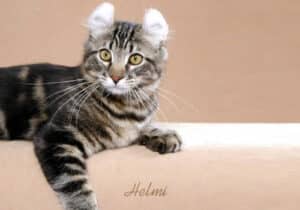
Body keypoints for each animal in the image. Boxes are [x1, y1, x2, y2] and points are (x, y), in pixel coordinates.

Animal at [0, 2, 182, 210]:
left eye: (135, 59)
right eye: (105, 55)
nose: (116, 78)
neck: (128, 107)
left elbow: (145, 128)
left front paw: (163, 134)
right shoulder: (57, 136)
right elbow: (73, 183)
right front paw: (84, 205)